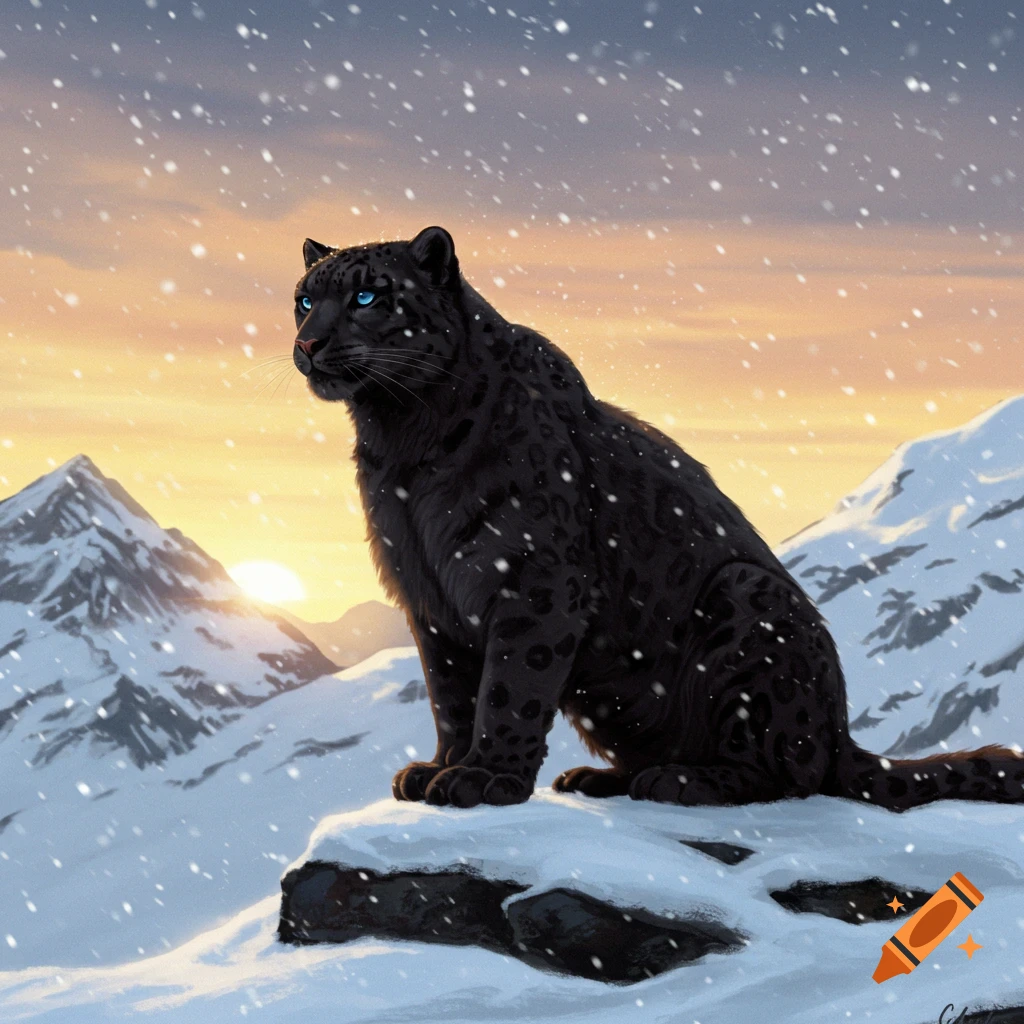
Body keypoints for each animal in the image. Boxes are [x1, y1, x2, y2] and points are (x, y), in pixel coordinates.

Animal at [291, 225, 1024, 812]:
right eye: (303, 298)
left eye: (366, 298)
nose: (309, 341)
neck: (401, 438)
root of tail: (841, 728)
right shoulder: (432, 597)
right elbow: (450, 694)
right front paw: (439, 769)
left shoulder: (534, 580)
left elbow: (511, 688)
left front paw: (485, 779)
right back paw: (600, 778)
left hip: (748, 606)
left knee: (788, 772)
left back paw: (680, 781)